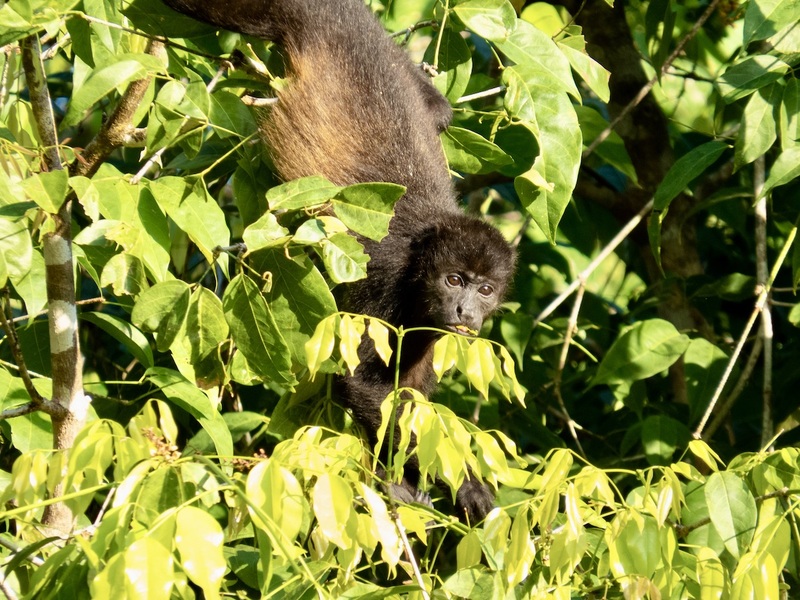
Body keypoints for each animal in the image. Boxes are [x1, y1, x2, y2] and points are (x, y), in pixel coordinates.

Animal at [160, 0, 516, 523]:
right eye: (454, 280)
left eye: (485, 289)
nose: (465, 311)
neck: (420, 265)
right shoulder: (384, 280)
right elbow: (362, 384)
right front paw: (454, 483)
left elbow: (410, 390)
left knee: (440, 112)